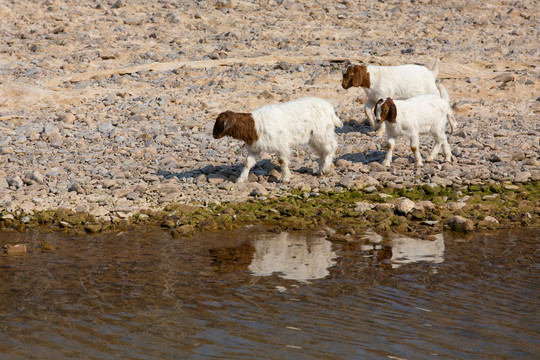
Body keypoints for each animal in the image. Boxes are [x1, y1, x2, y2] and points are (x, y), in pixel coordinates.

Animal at [212, 96, 342, 183]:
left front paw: (285, 178)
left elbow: (282, 161)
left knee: (331, 147)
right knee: (322, 151)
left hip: (321, 132)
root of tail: (330, 109)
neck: (254, 126)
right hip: (314, 137)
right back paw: (321, 169)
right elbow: (248, 163)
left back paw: (325, 169)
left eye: (220, 123)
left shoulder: (282, 144)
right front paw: (241, 179)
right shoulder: (255, 148)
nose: (213, 135)